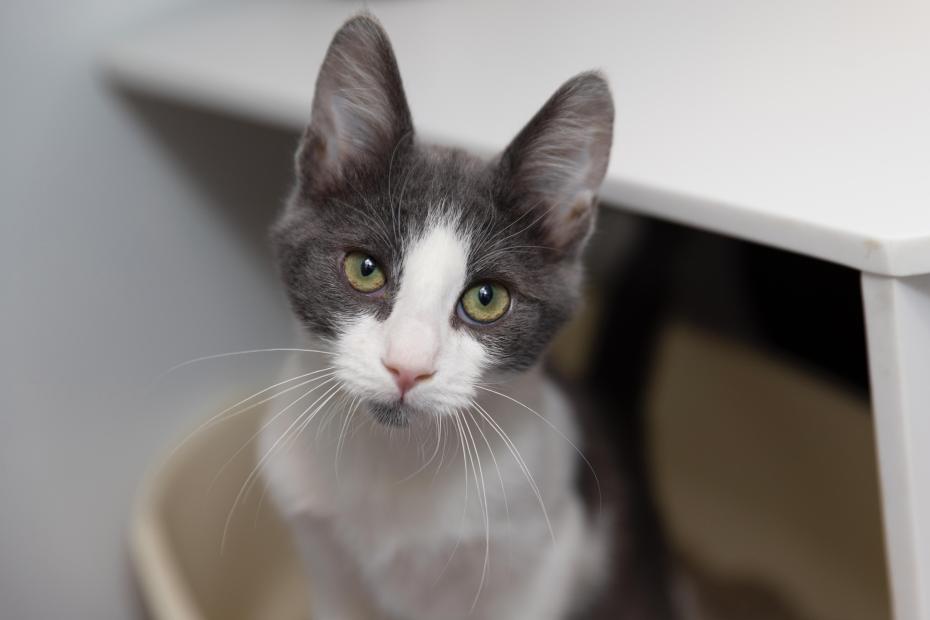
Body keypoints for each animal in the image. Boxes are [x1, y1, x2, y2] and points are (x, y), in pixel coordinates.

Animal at [258, 13, 628, 620]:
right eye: (365, 268)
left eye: (487, 298)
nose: (407, 367)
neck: (397, 462)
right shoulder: (323, 552)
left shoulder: (547, 545)